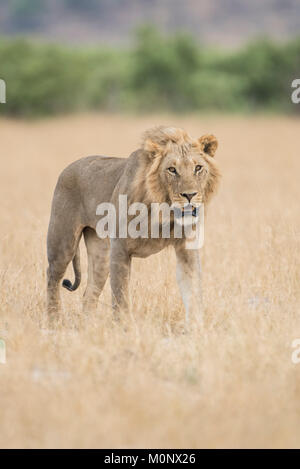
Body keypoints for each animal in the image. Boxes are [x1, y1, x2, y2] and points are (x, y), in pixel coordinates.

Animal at [47, 126, 220, 324]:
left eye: (198, 168)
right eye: (172, 169)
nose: (190, 195)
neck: (163, 210)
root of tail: (69, 166)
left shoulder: (186, 249)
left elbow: (193, 291)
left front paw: (197, 327)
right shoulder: (120, 248)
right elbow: (121, 297)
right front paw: (125, 327)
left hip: (101, 256)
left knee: (89, 294)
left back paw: (88, 326)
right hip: (63, 242)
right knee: (52, 278)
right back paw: (54, 320)